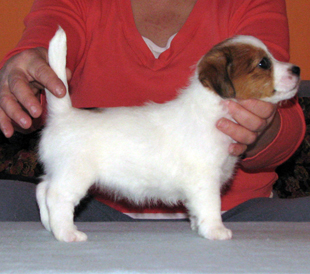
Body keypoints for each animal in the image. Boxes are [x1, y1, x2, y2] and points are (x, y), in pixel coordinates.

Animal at [36, 27, 300, 242]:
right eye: (263, 64)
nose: (297, 69)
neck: (212, 110)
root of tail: (63, 114)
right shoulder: (205, 180)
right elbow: (211, 206)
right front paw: (215, 230)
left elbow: (196, 209)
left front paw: (197, 226)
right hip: (74, 174)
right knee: (57, 197)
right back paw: (67, 233)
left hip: (60, 171)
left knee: (42, 189)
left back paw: (49, 226)